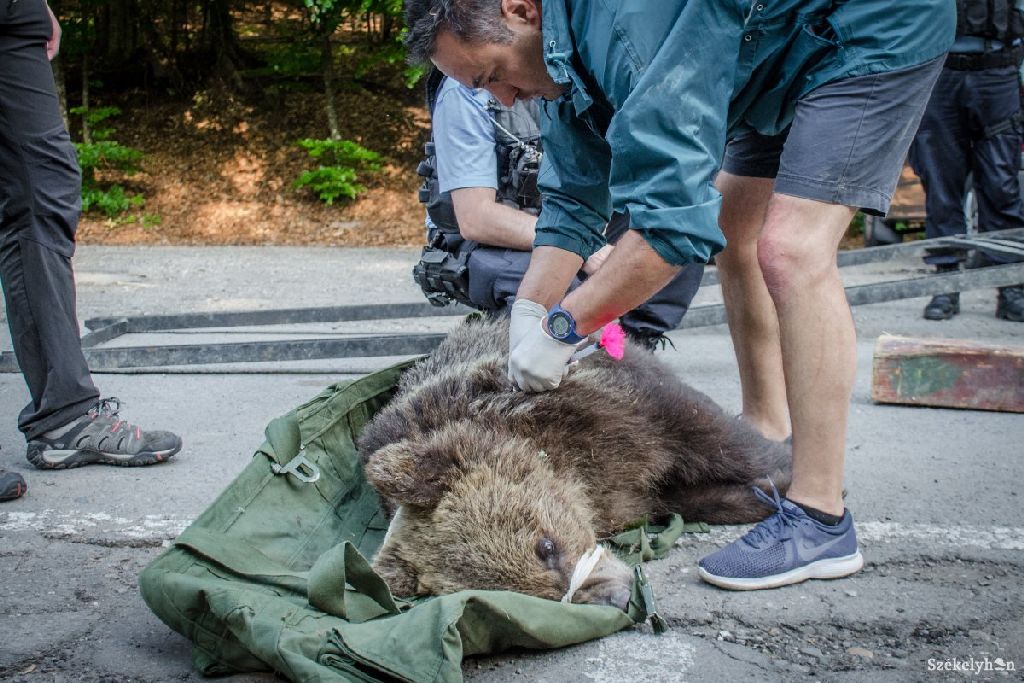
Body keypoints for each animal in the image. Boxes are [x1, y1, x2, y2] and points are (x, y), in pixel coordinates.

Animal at [360, 317, 790, 610]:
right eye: (523, 596)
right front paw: (751, 498)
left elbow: (716, 439)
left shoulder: (607, 411)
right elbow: (689, 497)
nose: (620, 598)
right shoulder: (623, 490)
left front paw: (785, 478)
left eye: (545, 546)